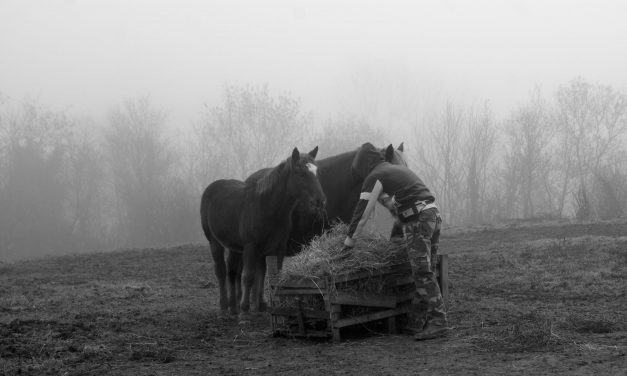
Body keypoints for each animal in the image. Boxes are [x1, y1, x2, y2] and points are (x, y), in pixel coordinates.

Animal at [201, 146, 326, 320]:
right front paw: (245, 312)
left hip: (235, 247)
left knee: (232, 272)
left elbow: (274, 278)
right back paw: (224, 309)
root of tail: (212, 187)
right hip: (214, 243)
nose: (320, 201)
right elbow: (248, 277)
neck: (267, 207)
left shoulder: (277, 249)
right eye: (300, 173)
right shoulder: (250, 248)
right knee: (221, 272)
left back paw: (233, 308)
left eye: (316, 172)